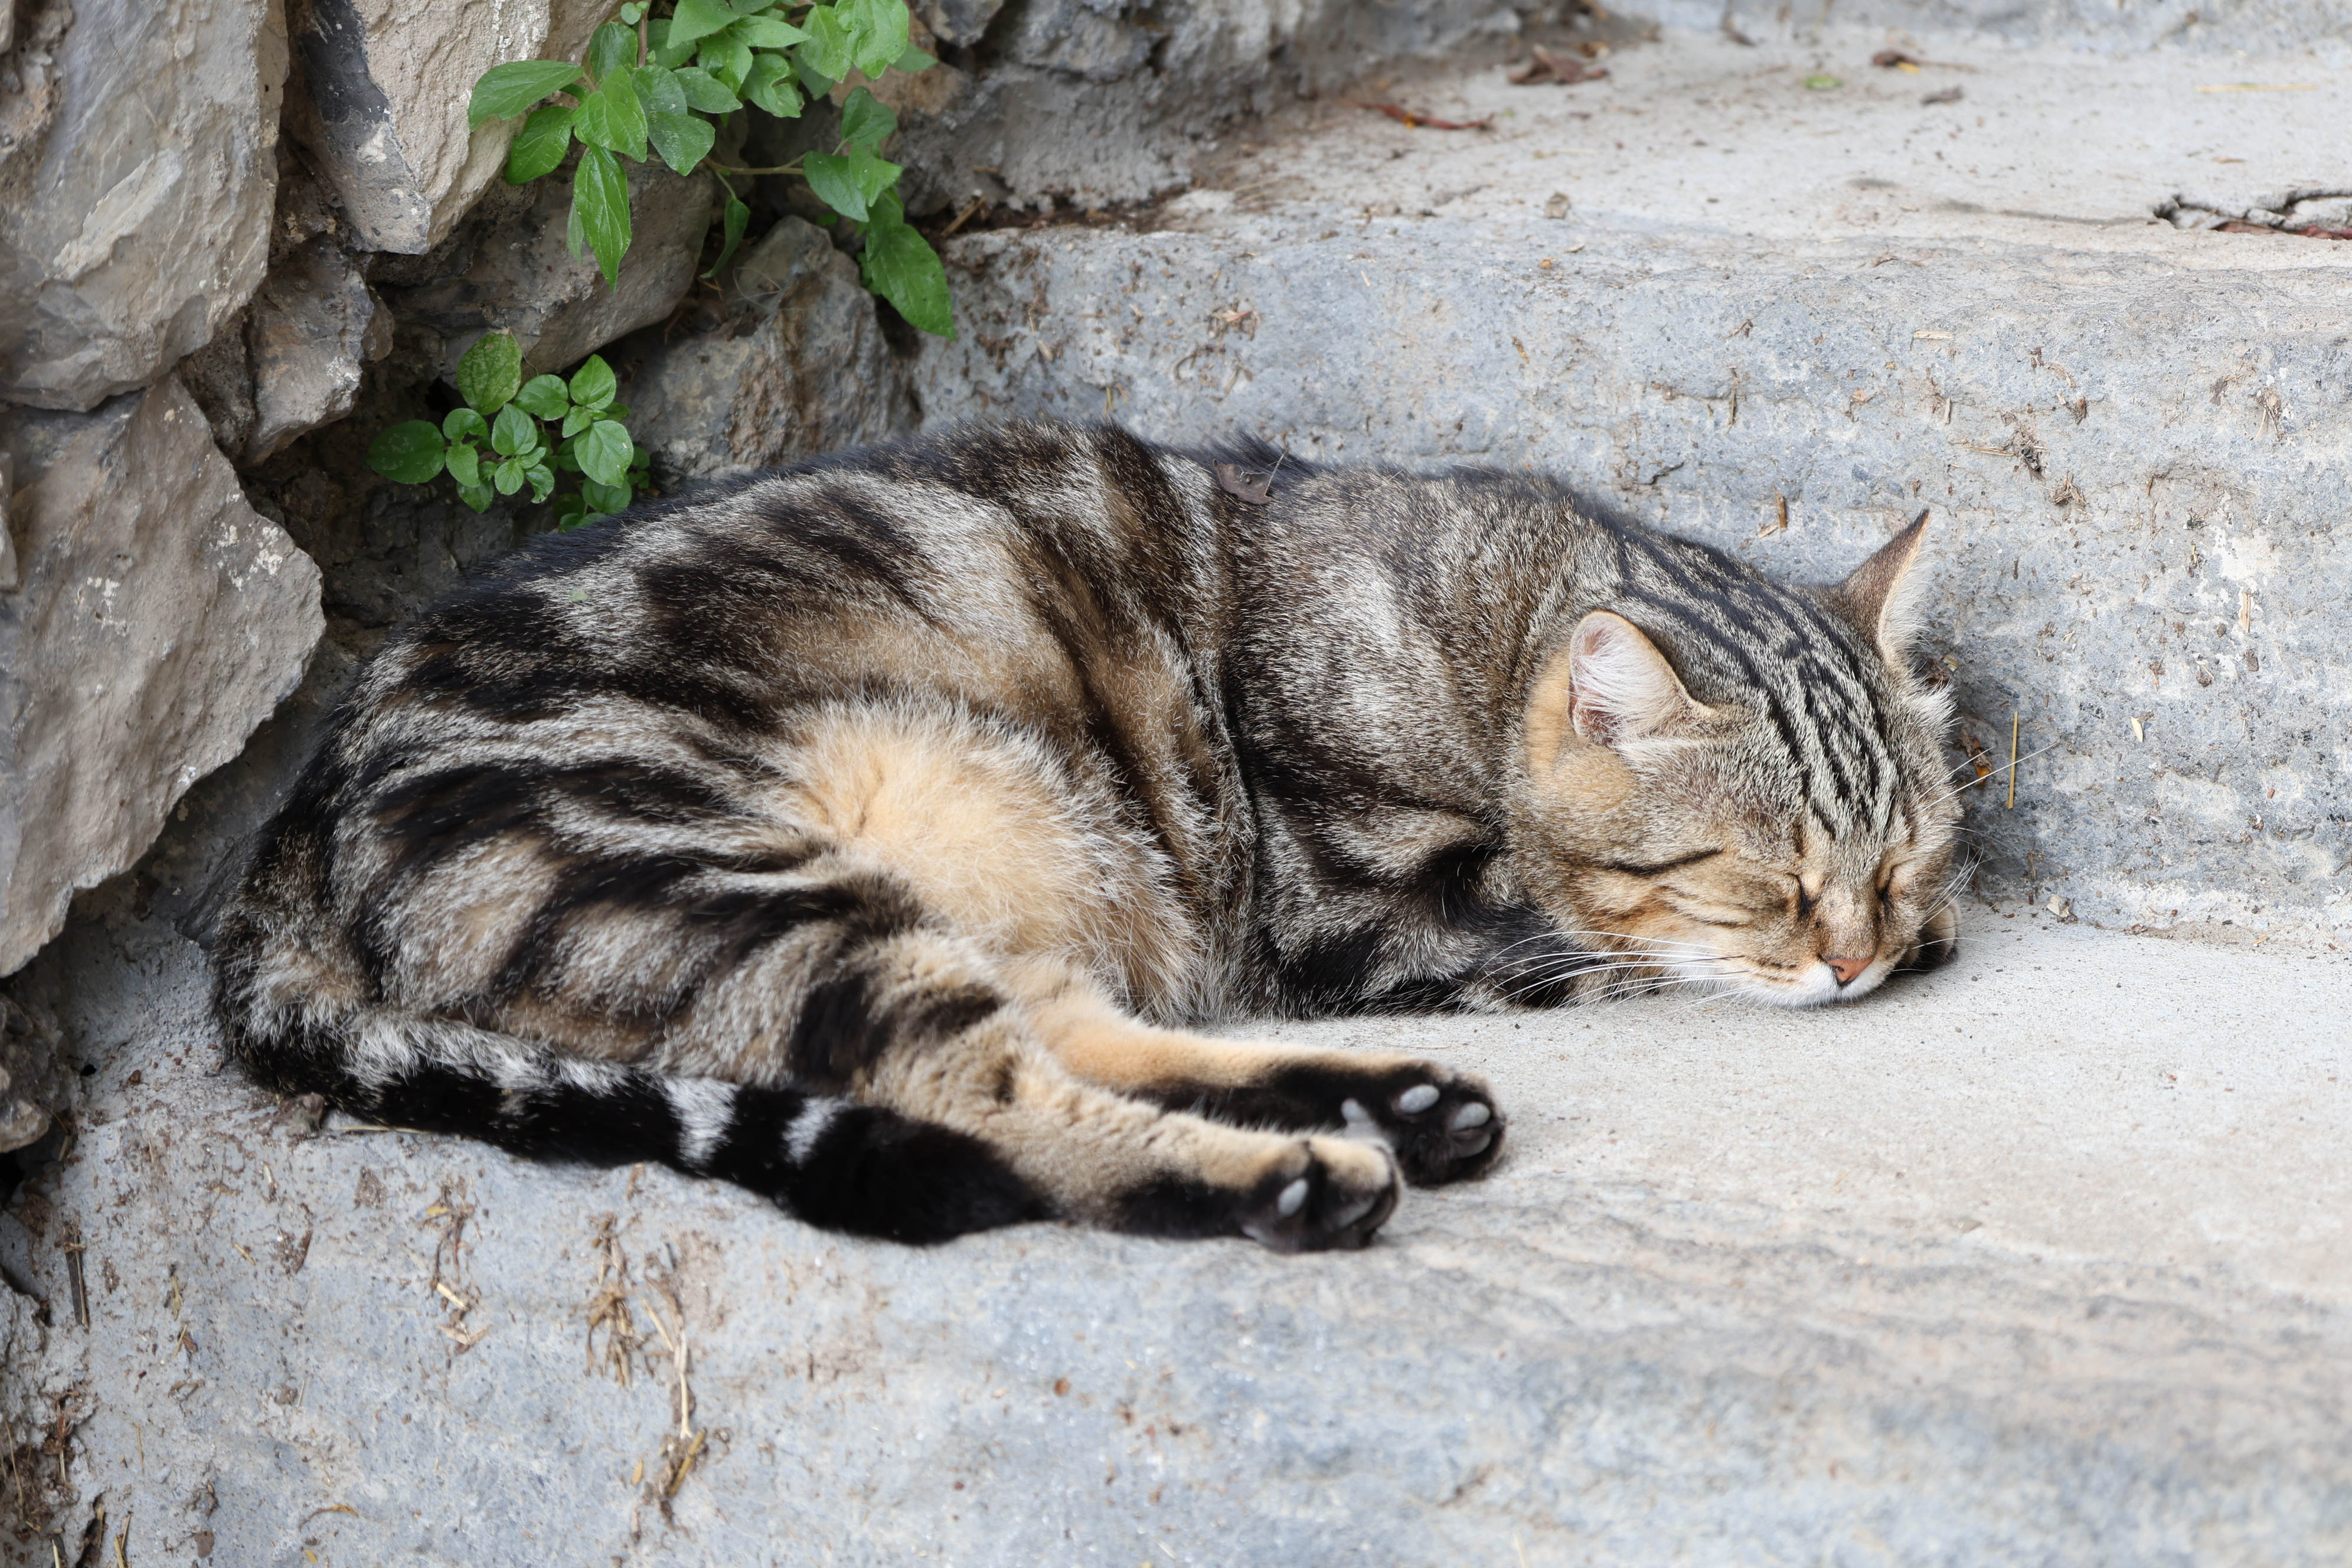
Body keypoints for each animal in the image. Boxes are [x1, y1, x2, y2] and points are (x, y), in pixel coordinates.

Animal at [216, 416, 1966, 1250]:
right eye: (1767, 888)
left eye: (1893, 861)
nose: (1862, 954)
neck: (1477, 623)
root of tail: (278, 861)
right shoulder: (1366, 906)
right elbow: (1592, 937)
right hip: (736, 881)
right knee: (988, 1095)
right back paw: (1301, 1179)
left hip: (980, 867)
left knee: (1065, 1027)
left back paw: (1389, 1107)